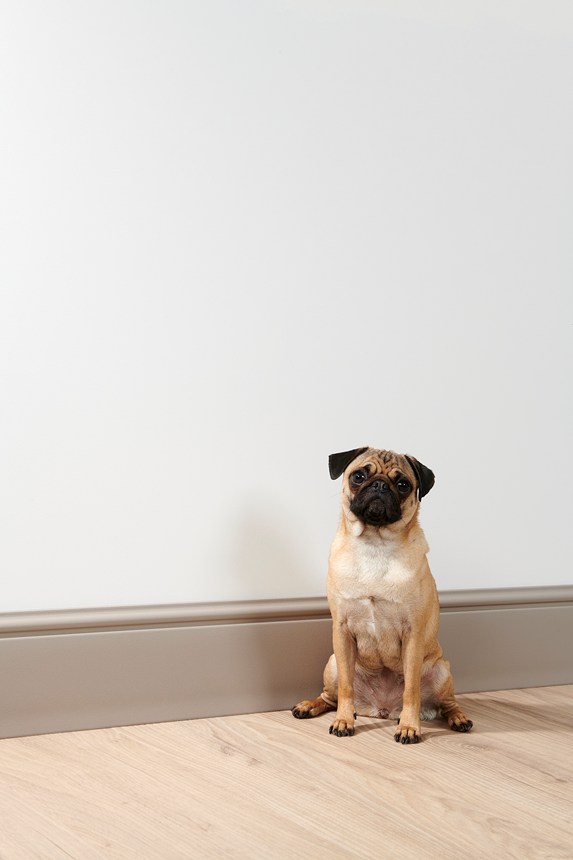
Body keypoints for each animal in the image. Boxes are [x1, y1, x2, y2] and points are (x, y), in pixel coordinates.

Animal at [292, 447, 473, 743]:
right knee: (330, 696)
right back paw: (310, 706)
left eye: (403, 485)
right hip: (332, 663)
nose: (379, 485)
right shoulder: (342, 631)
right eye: (358, 476)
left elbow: (411, 689)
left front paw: (409, 726)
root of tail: (383, 710)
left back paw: (458, 719)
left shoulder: (412, 635)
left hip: (442, 670)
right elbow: (346, 689)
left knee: (448, 703)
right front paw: (343, 720)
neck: (375, 544)